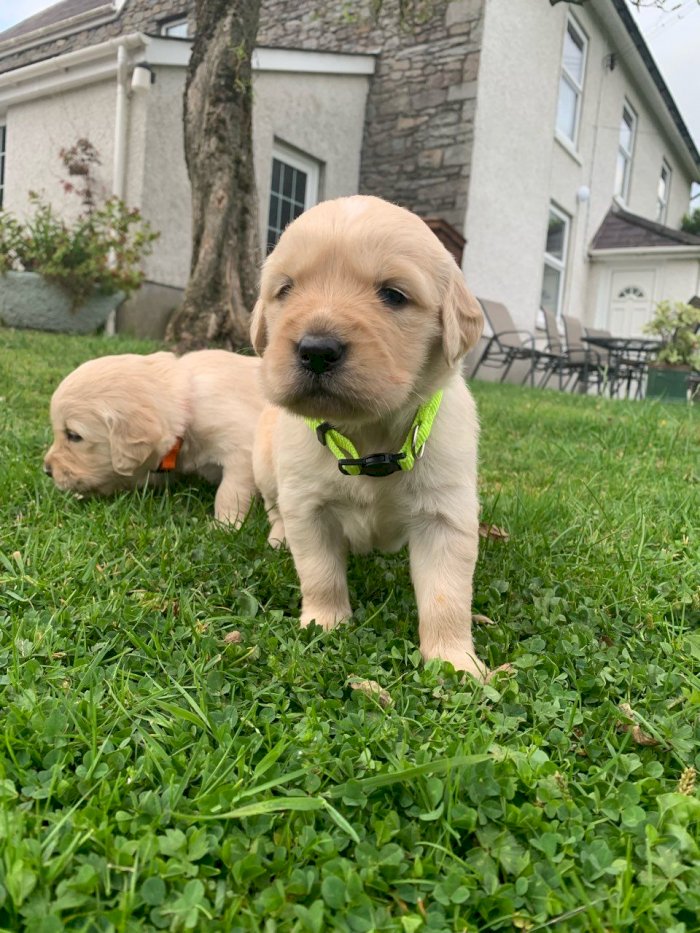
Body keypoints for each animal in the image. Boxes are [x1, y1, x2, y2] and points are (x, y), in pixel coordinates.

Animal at [44, 350, 262, 524]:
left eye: (73, 435)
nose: (47, 471)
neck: (188, 406)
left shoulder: (241, 450)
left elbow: (230, 492)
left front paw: (226, 526)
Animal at [253, 195, 492, 676]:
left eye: (394, 295)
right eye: (285, 290)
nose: (316, 350)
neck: (368, 437)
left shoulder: (446, 515)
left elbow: (447, 596)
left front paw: (455, 662)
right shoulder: (308, 507)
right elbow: (320, 573)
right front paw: (325, 625)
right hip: (266, 464)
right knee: (273, 508)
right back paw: (277, 536)